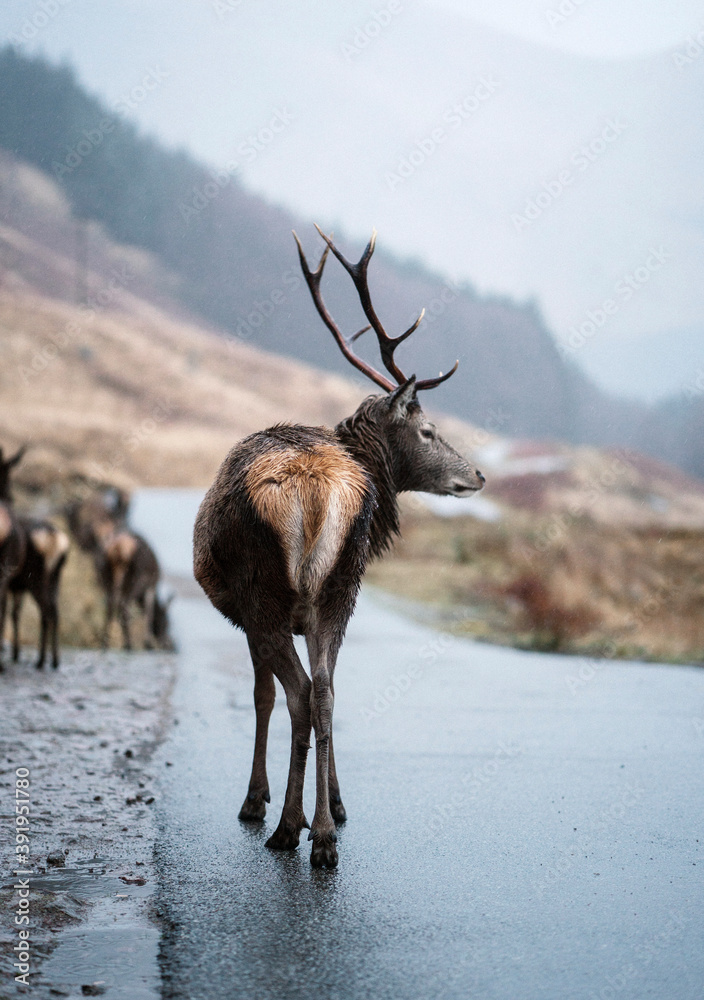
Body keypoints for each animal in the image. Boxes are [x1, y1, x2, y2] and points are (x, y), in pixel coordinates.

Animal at [66, 490, 174, 652]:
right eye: (166, 622)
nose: (168, 644)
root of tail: (119, 550)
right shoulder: (150, 586)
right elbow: (148, 612)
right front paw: (147, 643)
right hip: (133, 579)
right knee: (124, 606)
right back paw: (128, 644)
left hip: (107, 574)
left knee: (110, 604)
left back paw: (105, 642)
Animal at [195, 227, 486, 868]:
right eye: (428, 431)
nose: (479, 474)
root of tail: (316, 487)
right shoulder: (327, 607)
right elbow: (324, 691)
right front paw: (337, 806)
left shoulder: (254, 616)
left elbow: (263, 696)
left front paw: (259, 799)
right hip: (335, 590)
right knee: (322, 693)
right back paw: (323, 835)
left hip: (264, 593)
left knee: (301, 694)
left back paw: (289, 827)